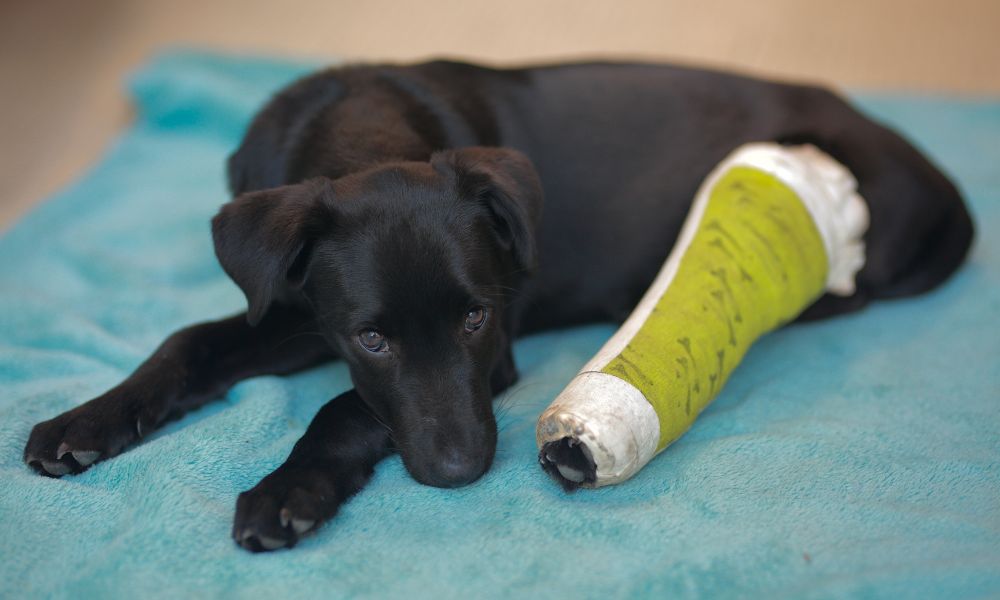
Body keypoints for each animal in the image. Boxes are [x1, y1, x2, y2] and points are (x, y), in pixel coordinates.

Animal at [23, 58, 972, 552]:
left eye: (476, 319)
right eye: (372, 337)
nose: (461, 472)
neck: (366, 136)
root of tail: (936, 179)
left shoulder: (495, 352)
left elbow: (344, 408)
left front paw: (290, 491)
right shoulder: (292, 304)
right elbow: (188, 343)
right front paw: (86, 423)